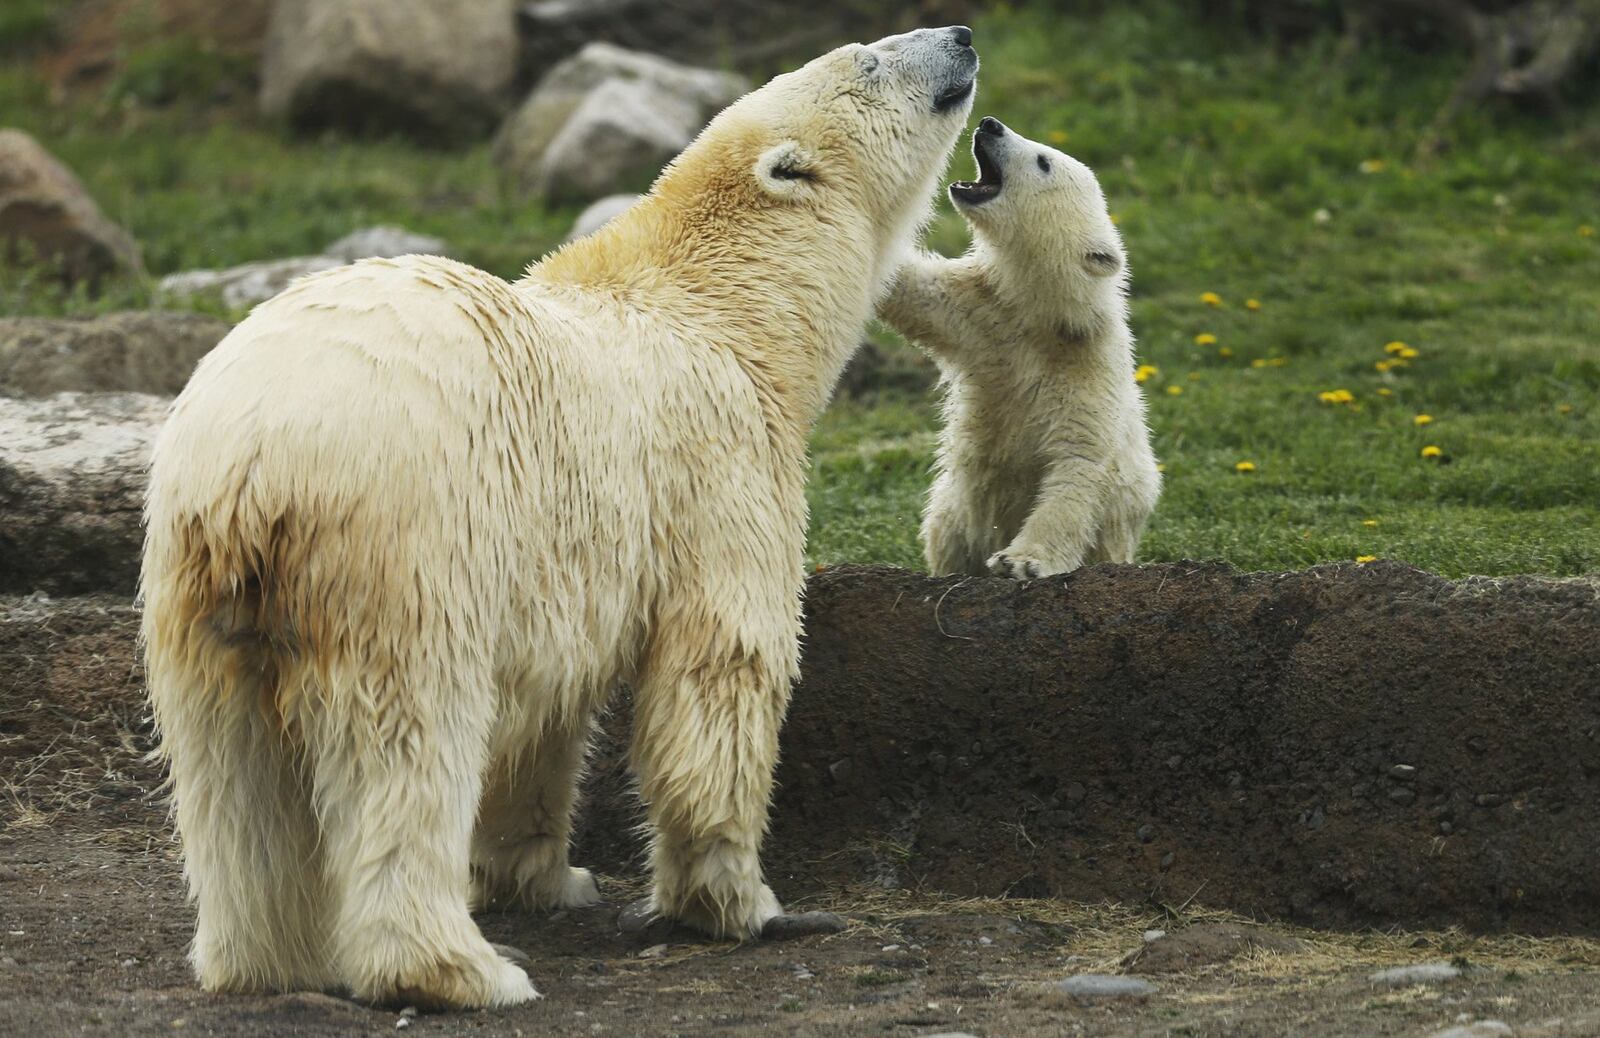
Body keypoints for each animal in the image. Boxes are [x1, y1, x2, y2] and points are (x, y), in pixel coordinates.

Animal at [144, 28, 979, 1010]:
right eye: (868, 59)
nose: (961, 37)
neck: (728, 315)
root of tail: (257, 452)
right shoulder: (719, 473)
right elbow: (719, 673)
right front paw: (748, 906)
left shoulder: (561, 564)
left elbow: (540, 716)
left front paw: (547, 877)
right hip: (406, 545)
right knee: (408, 743)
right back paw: (462, 970)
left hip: (194, 576)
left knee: (229, 764)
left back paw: (263, 957)